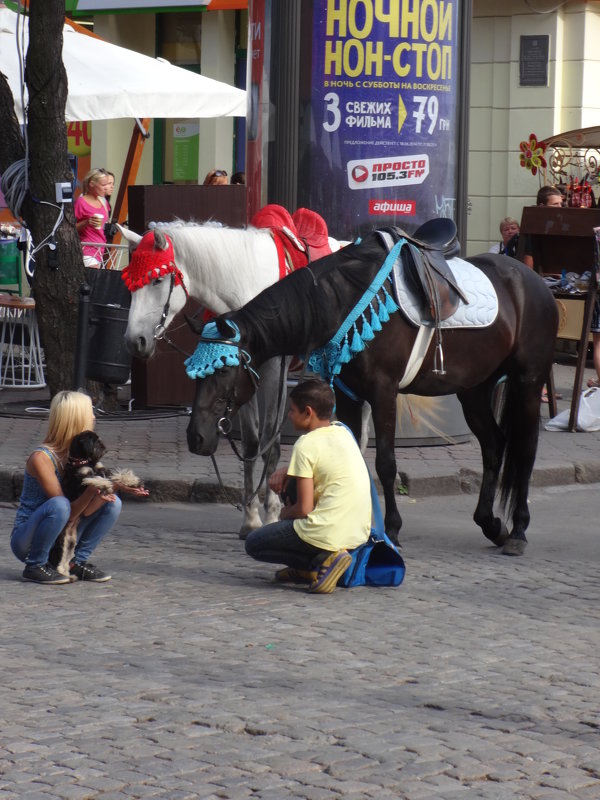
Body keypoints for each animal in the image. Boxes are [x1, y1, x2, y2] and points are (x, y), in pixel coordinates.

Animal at [48, 432, 142, 576]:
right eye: (96, 442)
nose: (106, 450)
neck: (84, 461)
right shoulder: (81, 477)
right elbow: (95, 478)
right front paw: (105, 485)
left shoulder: (101, 469)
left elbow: (116, 475)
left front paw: (132, 481)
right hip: (62, 541)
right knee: (58, 558)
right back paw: (62, 574)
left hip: (71, 543)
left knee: (67, 558)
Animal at [119, 216, 340, 536]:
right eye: (130, 284)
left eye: (157, 280)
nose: (135, 341)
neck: (249, 284)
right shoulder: (242, 373)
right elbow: (251, 442)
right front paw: (250, 518)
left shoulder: (274, 371)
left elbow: (270, 445)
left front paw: (271, 514)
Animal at [184, 230, 556, 556]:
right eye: (194, 370)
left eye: (223, 369)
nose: (196, 437)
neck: (341, 299)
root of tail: (535, 281)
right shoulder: (349, 395)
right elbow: (353, 457)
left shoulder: (382, 393)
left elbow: (385, 463)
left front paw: (391, 529)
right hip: (474, 390)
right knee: (494, 446)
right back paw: (491, 524)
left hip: (527, 383)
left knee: (525, 451)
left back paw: (518, 532)